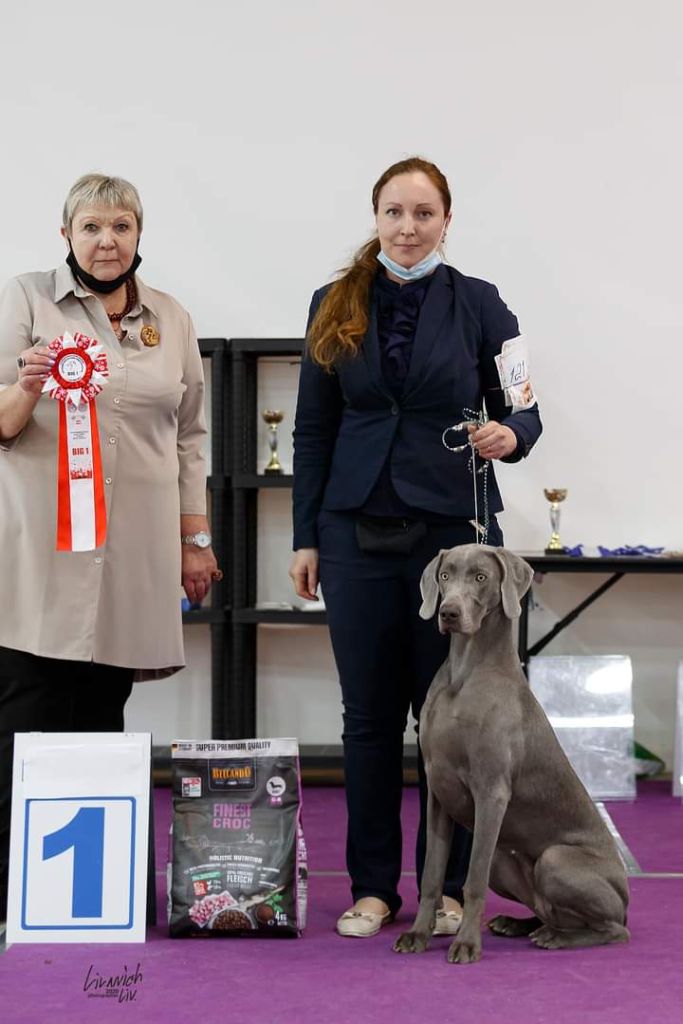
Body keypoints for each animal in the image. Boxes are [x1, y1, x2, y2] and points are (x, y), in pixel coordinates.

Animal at [395, 544, 630, 958]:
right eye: (445, 575)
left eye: (480, 577)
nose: (448, 612)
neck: (463, 675)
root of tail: (627, 900)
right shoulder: (438, 792)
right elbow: (431, 876)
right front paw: (418, 934)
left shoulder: (492, 793)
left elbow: (471, 883)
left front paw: (466, 943)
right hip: (503, 859)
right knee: (549, 910)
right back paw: (520, 923)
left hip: (554, 859)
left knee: (613, 929)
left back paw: (556, 937)